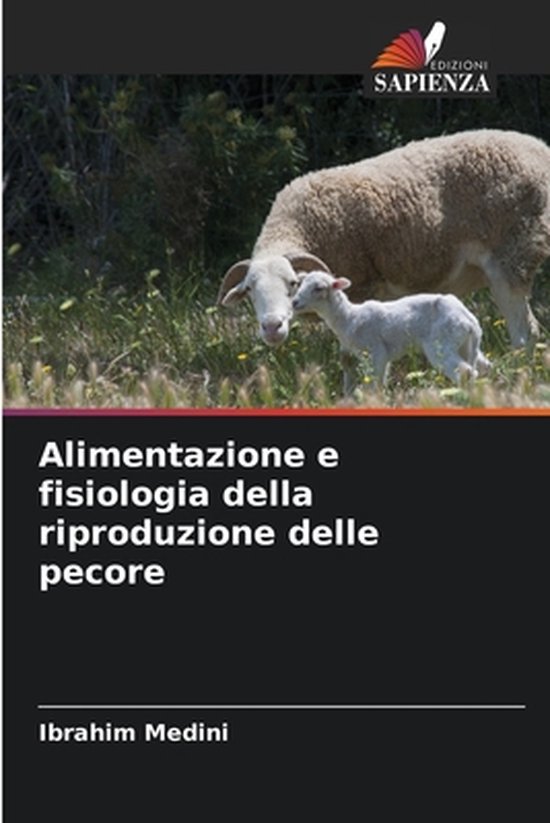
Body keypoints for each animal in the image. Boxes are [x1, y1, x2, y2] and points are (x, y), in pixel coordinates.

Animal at [217, 128, 550, 350]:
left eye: (292, 283)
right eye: (249, 290)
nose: (272, 327)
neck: (299, 223)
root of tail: (540, 148)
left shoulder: (364, 286)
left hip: (511, 256)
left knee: (526, 332)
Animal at [291, 271, 491, 393]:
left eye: (319, 288)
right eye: (300, 284)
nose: (294, 302)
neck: (349, 318)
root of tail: (470, 321)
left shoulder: (377, 351)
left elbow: (376, 383)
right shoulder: (359, 356)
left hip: (441, 343)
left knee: (466, 372)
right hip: (466, 345)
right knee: (484, 367)